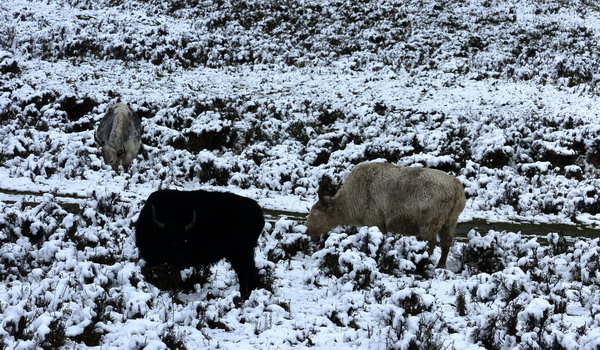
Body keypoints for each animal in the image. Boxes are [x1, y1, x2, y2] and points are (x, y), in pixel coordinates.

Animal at [136, 190, 268, 300]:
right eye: (168, 240)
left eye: (184, 241)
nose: (181, 263)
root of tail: (258, 212)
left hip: (239, 253)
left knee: (245, 273)